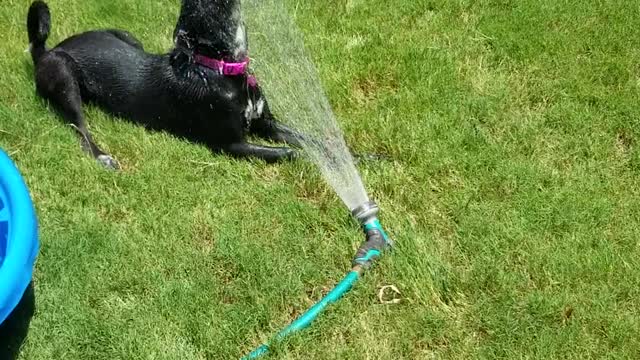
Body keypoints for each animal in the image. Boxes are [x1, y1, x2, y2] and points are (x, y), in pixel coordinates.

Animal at [26, 0, 302, 169]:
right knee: (80, 129)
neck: (216, 67)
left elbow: (303, 137)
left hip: (127, 36)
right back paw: (102, 157)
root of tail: (47, 50)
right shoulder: (231, 145)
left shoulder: (266, 123)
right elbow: (289, 152)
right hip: (62, 72)